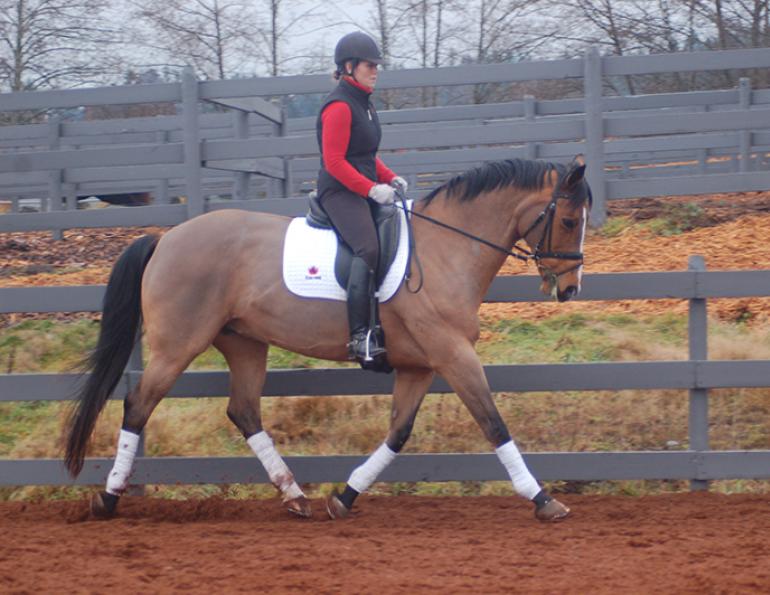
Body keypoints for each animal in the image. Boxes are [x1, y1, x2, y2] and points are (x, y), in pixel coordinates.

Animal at [64, 156, 592, 522]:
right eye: (569, 220)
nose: (569, 289)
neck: (447, 249)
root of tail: (166, 238)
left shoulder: (420, 365)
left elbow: (398, 434)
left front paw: (345, 496)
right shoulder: (453, 355)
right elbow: (494, 424)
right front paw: (543, 499)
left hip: (244, 343)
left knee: (244, 411)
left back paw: (296, 497)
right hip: (178, 345)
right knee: (138, 405)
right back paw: (108, 498)